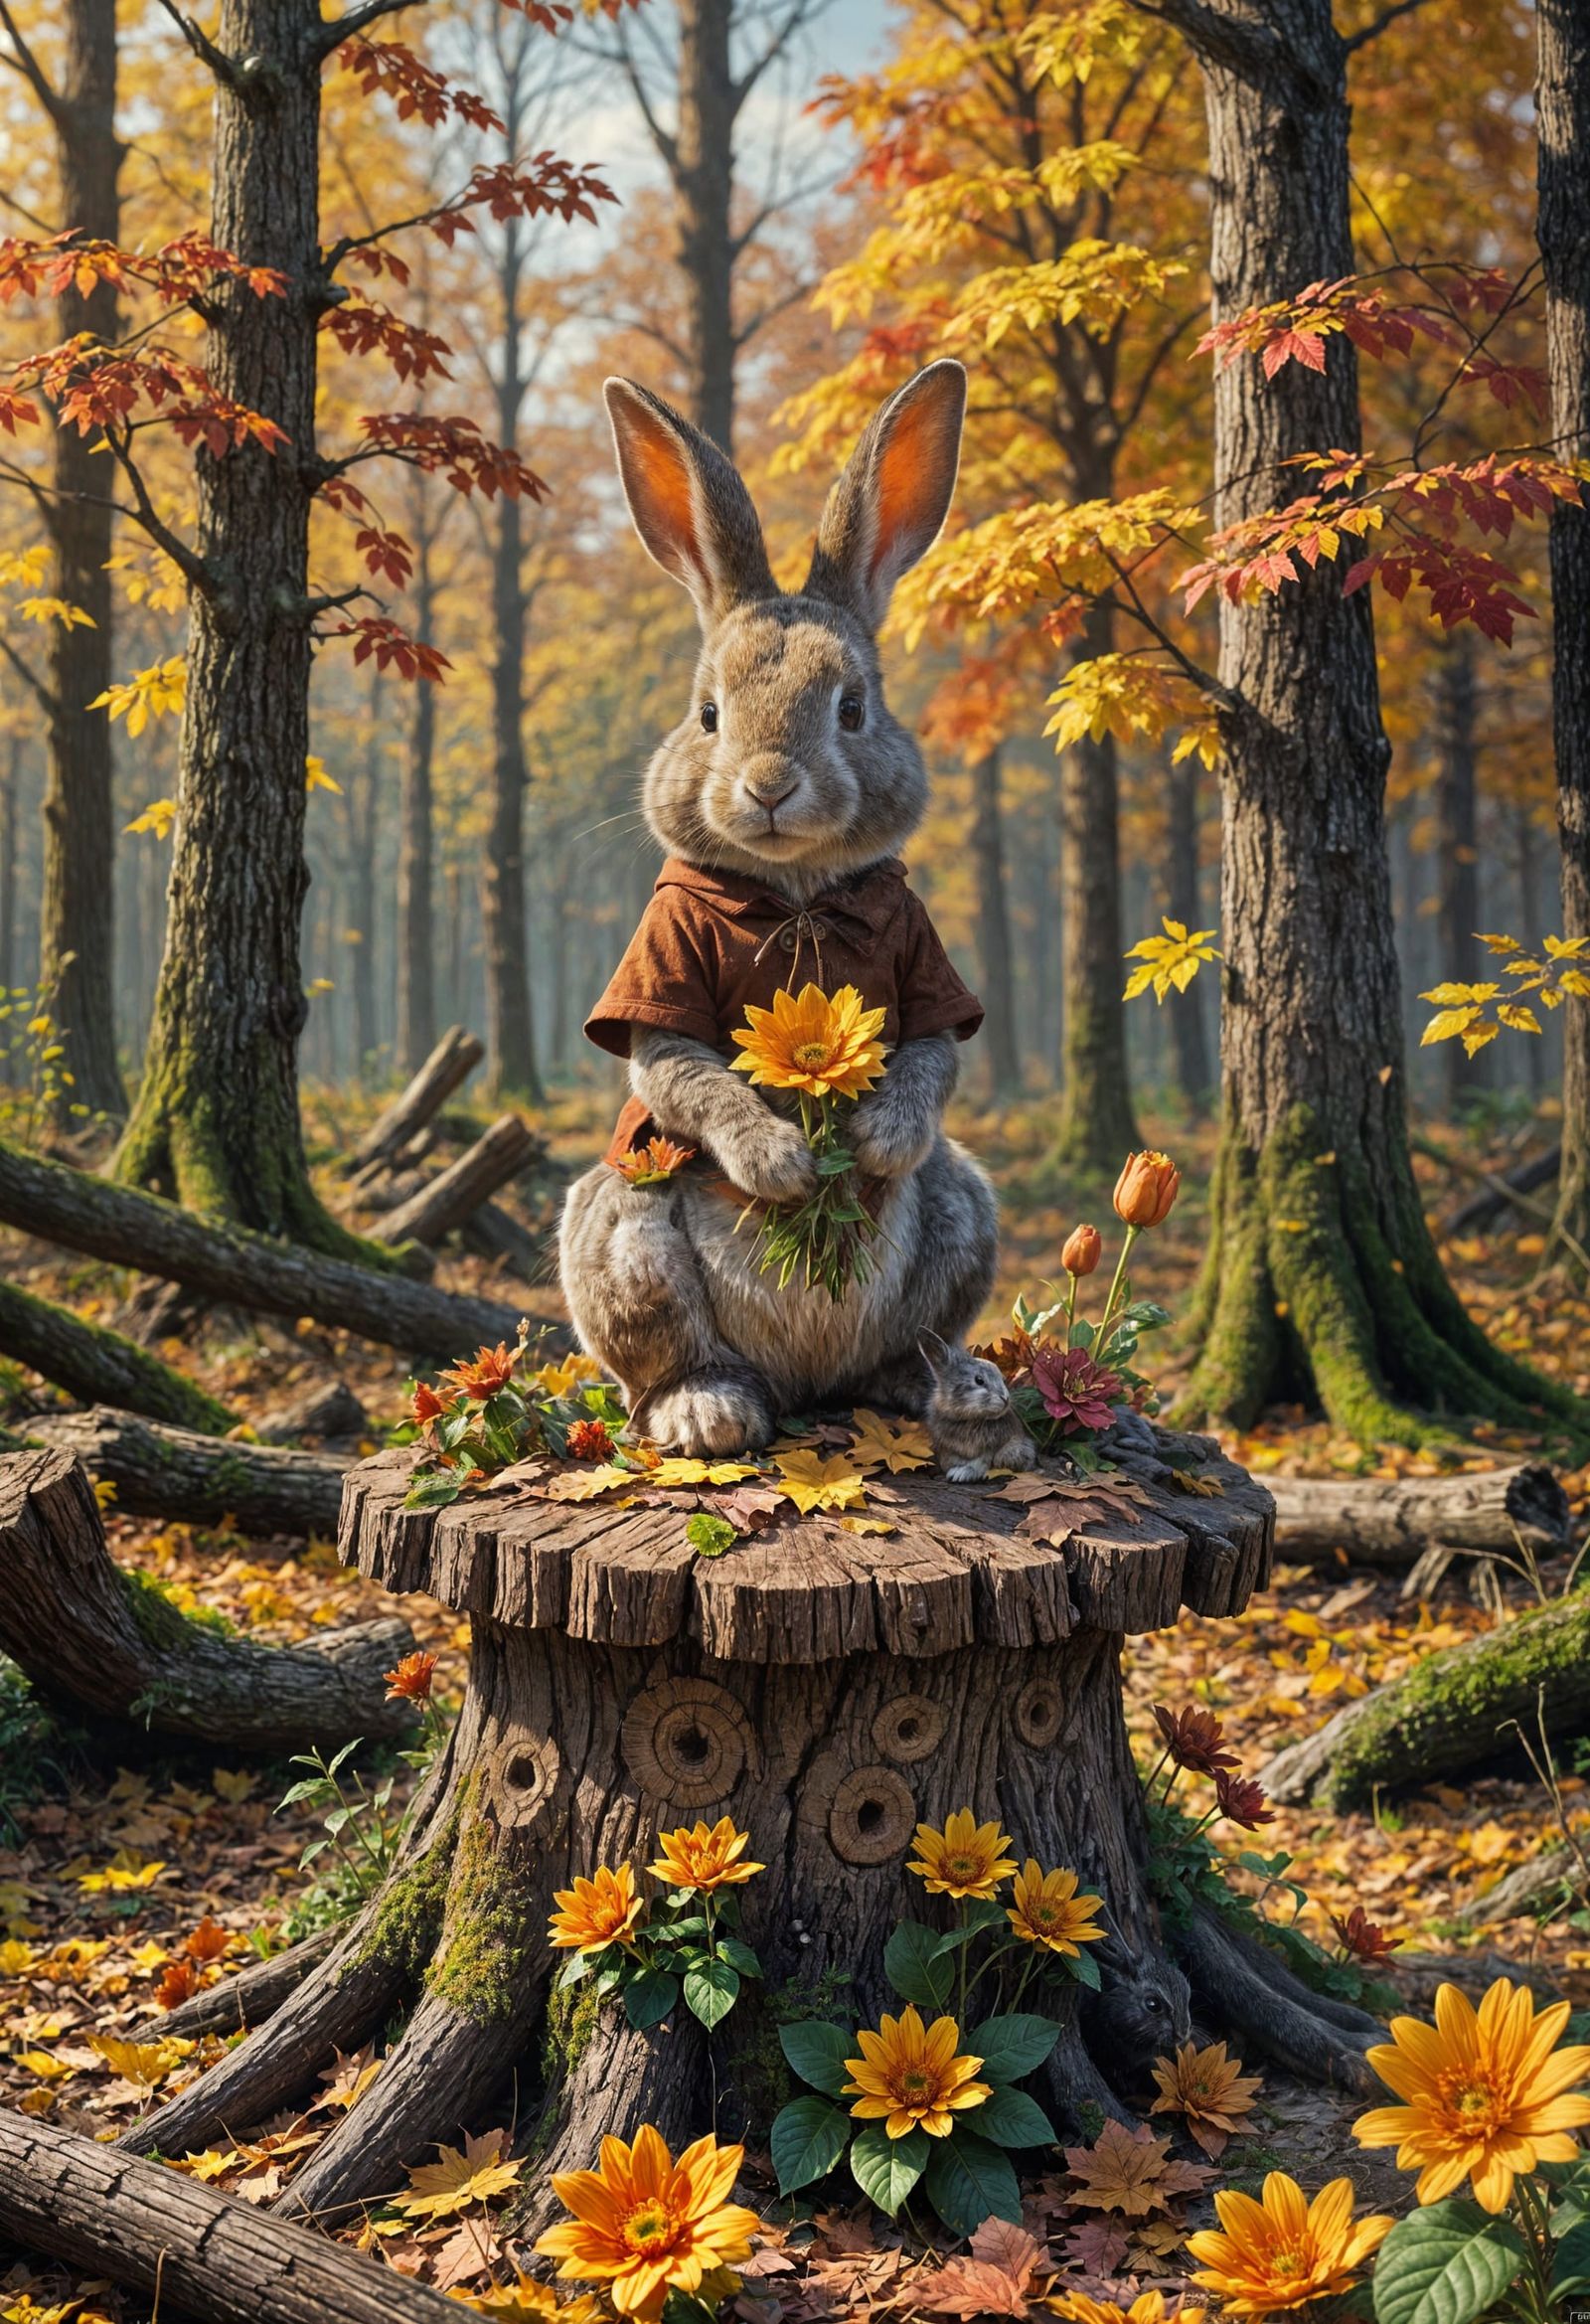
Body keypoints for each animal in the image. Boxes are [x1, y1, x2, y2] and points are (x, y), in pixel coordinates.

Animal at [558, 361, 999, 1457]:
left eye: (853, 709)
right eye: (707, 713)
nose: (767, 785)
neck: (794, 897)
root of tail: (808, 1384)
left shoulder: (923, 963)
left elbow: (933, 1053)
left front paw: (873, 1143)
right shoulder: (660, 969)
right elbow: (684, 1073)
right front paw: (782, 1162)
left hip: (965, 1210)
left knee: (908, 1343)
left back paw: (951, 1387)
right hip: (626, 1231)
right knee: (669, 1365)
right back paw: (708, 1410)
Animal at [919, 1329, 1038, 1482]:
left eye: (1003, 1380)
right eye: (979, 1380)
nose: (1005, 1399)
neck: (968, 1418)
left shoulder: (989, 1449)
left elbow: (980, 1463)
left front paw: (962, 1474)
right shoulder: (946, 1448)